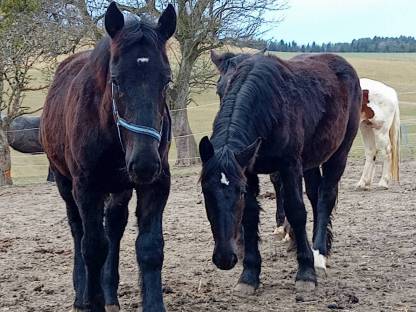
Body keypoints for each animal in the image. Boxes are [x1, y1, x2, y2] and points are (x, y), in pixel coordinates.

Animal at [39, 1, 176, 310]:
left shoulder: (157, 184)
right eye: (116, 81)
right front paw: (91, 300)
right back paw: (81, 294)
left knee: (114, 227)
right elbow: (92, 247)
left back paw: (110, 294)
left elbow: (150, 248)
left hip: (120, 188)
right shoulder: (86, 186)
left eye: (166, 80)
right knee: (78, 231)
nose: (144, 163)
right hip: (66, 184)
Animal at [198, 53, 360, 294]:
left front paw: (306, 272)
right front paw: (249, 275)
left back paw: (319, 254)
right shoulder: (249, 170)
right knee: (315, 196)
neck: (268, 105)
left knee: (325, 197)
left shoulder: (289, 165)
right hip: (311, 162)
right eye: (205, 191)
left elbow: (296, 211)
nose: (225, 258)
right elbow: (250, 215)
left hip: (339, 153)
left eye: (238, 192)